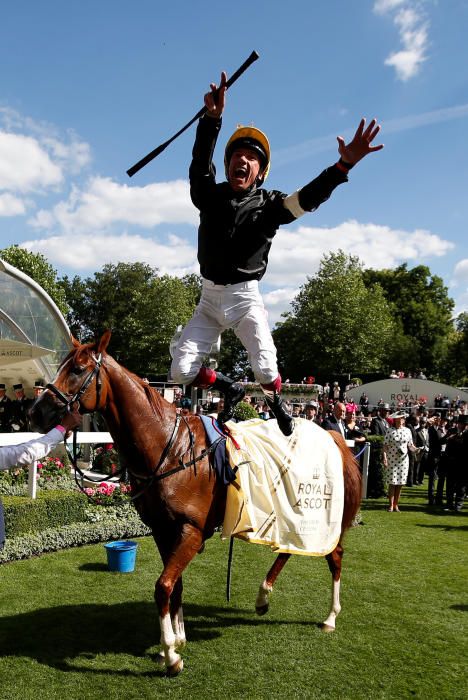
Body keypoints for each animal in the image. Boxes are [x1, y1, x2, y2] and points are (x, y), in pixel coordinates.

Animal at [31, 334, 362, 680]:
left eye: (78, 369)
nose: (36, 412)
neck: (171, 449)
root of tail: (330, 434)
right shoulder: (162, 530)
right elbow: (174, 585)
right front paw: (177, 639)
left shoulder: (191, 530)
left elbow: (163, 585)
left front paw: (171, 655)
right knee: (289, 548)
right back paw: (262, 597)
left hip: (317, 511)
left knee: (334, 556)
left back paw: (330, 616)